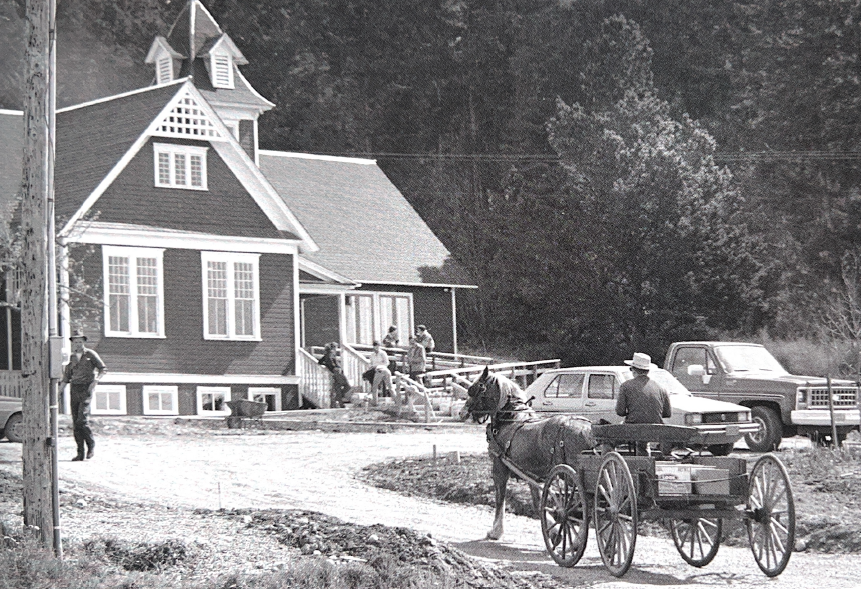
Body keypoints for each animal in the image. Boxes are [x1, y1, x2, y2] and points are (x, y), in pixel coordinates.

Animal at [460, 366, 597, 540]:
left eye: (474, 388)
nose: (462, 412)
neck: (510, 418)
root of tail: (588, 430)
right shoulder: (531, 474)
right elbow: (538, 502)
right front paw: (553, 531)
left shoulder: (500, 467)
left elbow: (500, 499)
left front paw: (496, 531)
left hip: (572, 479)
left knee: (586, 507)